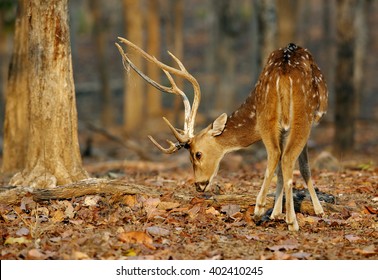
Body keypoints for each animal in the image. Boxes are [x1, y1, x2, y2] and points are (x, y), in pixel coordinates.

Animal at [116, 38, 330, 231]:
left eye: (197, 154)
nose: (198, 185)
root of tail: (284, 73)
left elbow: (294, 168)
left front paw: (282, 212)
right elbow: (300, 167)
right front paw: (312, 210)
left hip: (277, 116)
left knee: (279, 156)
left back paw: (271, 213)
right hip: (299, 115)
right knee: (282, 157)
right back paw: (278, 217)